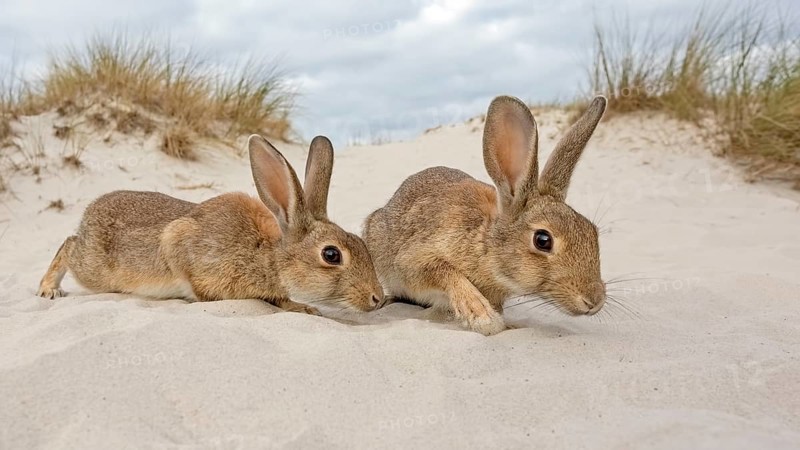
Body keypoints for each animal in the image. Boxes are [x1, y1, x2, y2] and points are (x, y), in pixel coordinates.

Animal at [37, 134, 385, 315]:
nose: (377, 298)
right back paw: (47, 289)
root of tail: (88, 214)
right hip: (94, 269)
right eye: (331, 255)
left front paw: (303, 308)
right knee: (68, 245)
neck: (268, 255)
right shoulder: (181, 245)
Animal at [363, 95, 608, 335]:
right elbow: (446, 272)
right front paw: (482, 316)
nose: (594, 301)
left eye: (593, 232)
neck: (486, 243)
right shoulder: (414, 260)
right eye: (542, 240)